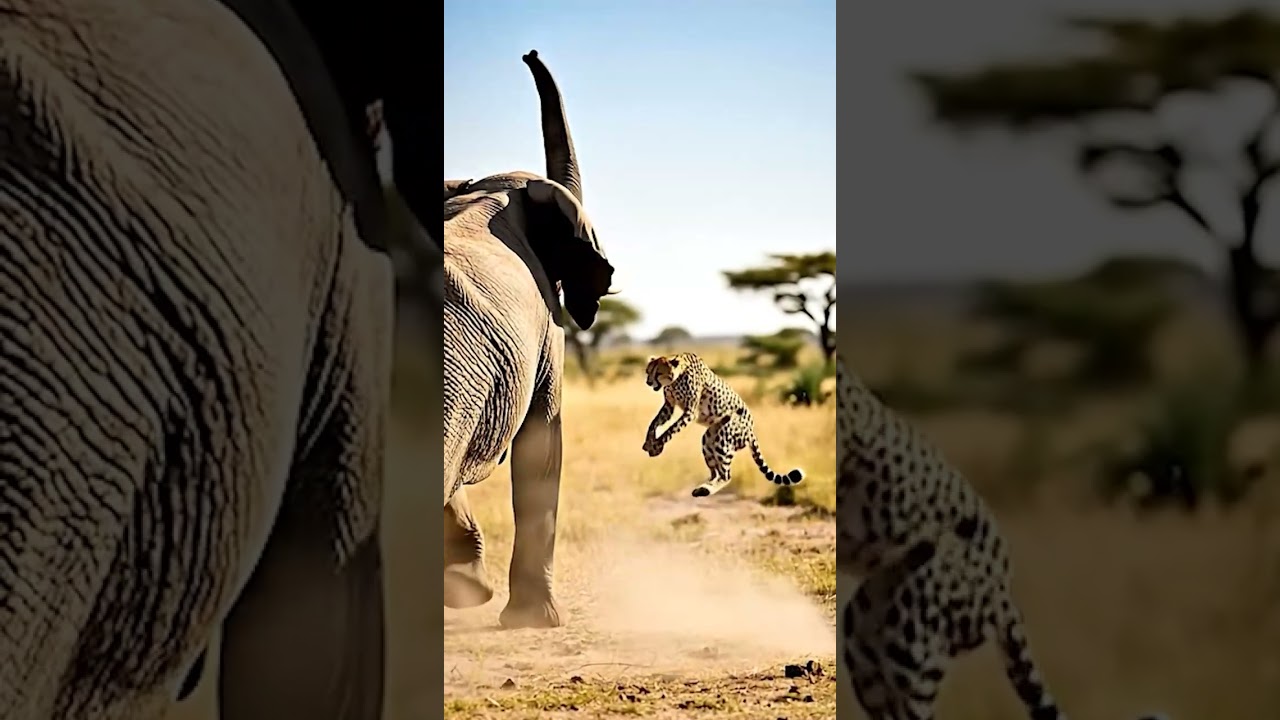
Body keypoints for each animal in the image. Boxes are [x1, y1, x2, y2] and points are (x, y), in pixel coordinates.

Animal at [443, 50, 615, 629]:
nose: (530, 54)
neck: (489, 189)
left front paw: (467, 588)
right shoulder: (547, 331)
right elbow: (544, 442)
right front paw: (534, 621)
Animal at [643, 352, 804, 498]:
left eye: (658, 373)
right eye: (648, 371)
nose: (648, 382)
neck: (676, 378)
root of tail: (751, 430)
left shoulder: (690, 412)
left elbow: (671, 430)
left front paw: (657, 446)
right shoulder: (669, 406)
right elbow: (653, 424)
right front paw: (649, 443)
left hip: (723, 437)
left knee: (726, 475)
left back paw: (706, 490)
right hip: (708, 440)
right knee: (715, 473)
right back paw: (702, 488)